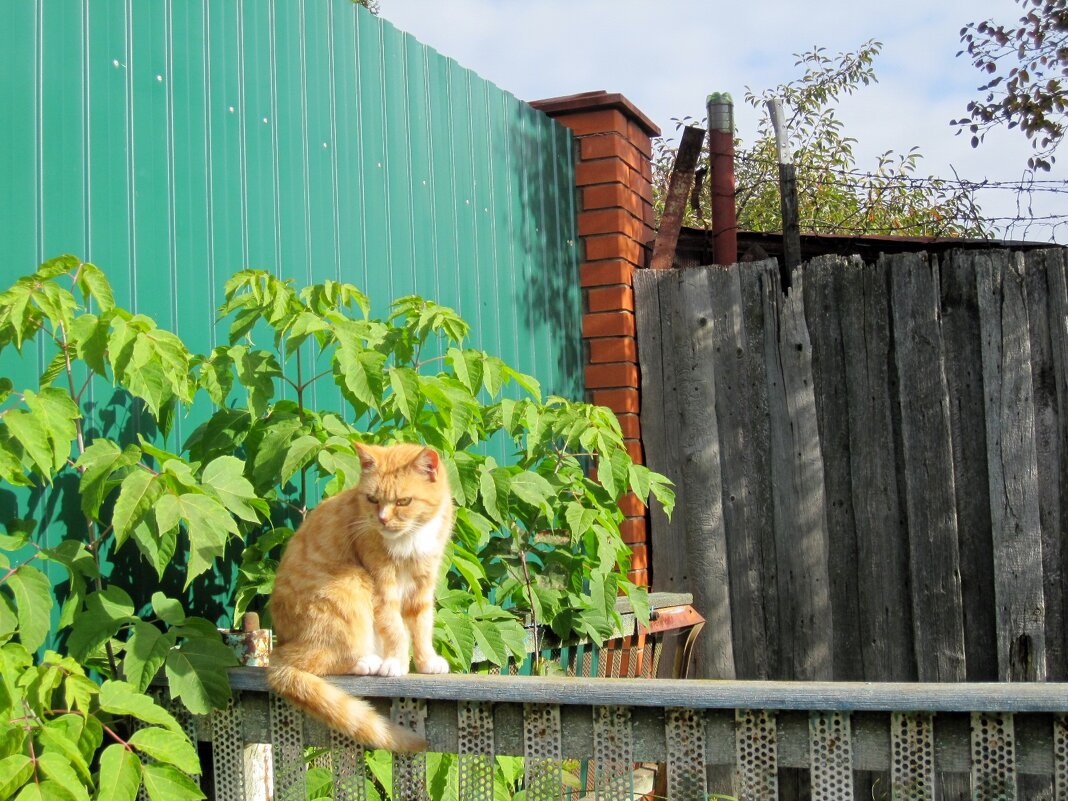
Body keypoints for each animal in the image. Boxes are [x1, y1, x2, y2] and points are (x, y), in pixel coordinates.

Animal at [267, 446, 454, 751]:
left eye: (403, 501)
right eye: (372, 499)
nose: (382, 520)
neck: (410, 539)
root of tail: (278, 648)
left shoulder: (423, 585)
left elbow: (422, 626)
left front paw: (427, 662)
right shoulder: (382, 585)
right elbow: (395, 628)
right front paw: (396, 663)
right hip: (352, 583)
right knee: (308, 661)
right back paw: (368, 662)